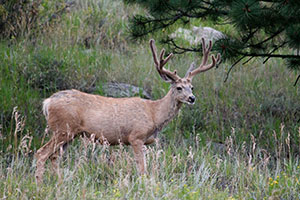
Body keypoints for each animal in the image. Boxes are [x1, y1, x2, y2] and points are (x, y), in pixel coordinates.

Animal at [34, 37, 220, 183]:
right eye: (179, 87)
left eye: (192, 87)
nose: (192, 98)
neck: (154, 114)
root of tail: (47, 102)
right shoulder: (135, 137)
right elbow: (142, 170)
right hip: (62, 129)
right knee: (41, 153)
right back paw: (40, 185)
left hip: (70, 134)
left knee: (54, 157)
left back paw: (59, 183)